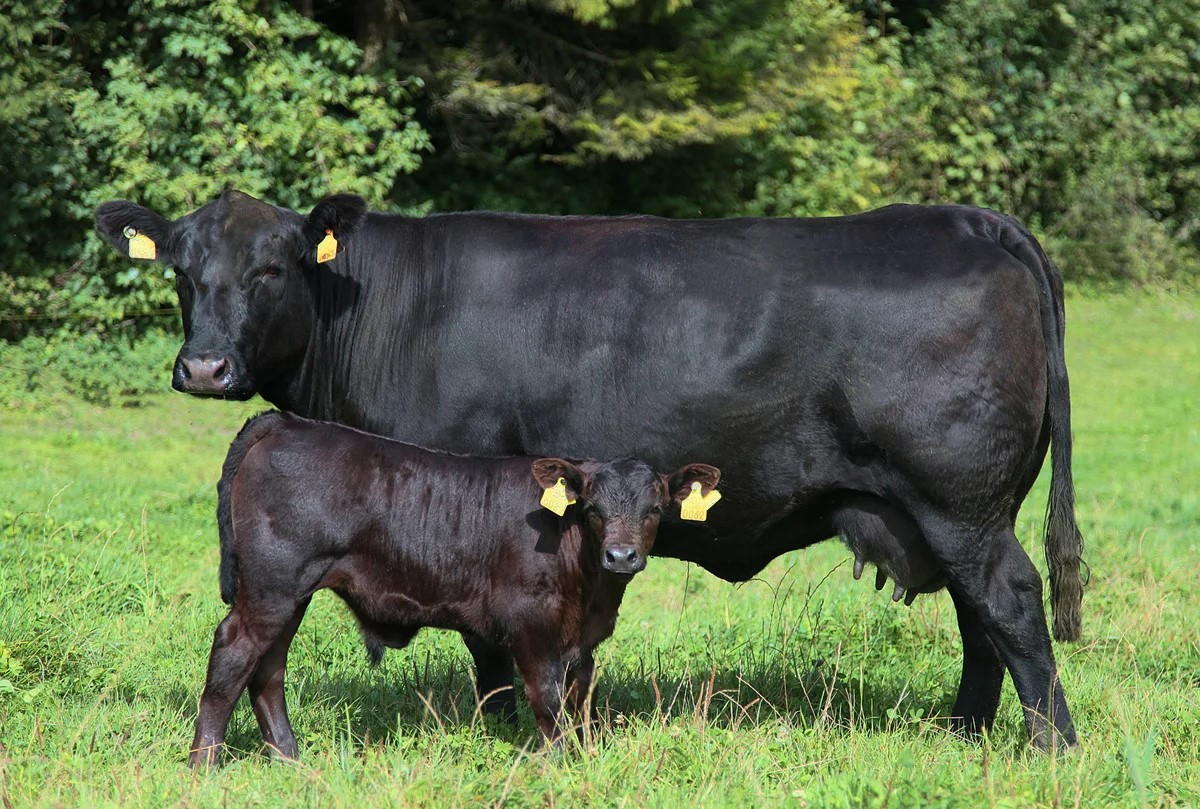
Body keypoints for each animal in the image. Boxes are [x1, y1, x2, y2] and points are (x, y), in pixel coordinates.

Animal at [188, 409, 720, 767]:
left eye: (655, 510)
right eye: (592, 509)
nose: (621, 556)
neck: (589, 591)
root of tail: (287, 423)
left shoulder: (583, 642)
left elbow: (580, 701)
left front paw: (584, 757)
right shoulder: (532, 630)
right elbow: (548, 704)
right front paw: (557, 765)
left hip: (289, 594)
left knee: (268, 669)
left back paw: (290, 758)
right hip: (272, 587)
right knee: (233, 654)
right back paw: (204, 764)